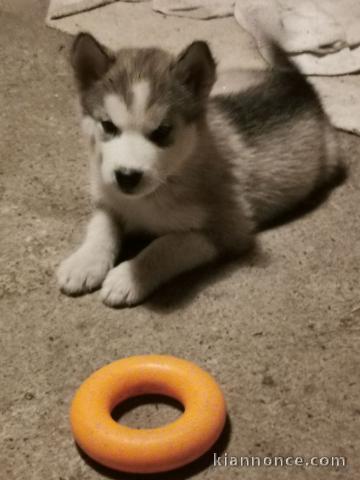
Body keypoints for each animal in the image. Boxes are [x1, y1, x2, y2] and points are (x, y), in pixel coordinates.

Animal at [56, 33, 340, 306]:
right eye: (108, 125)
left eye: (162, 131)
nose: (127, 177)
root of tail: (299, 83)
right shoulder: (108, 199)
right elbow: (101, 227)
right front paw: (84, 263)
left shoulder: (228, 230)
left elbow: (166, 245)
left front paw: (128, 277)